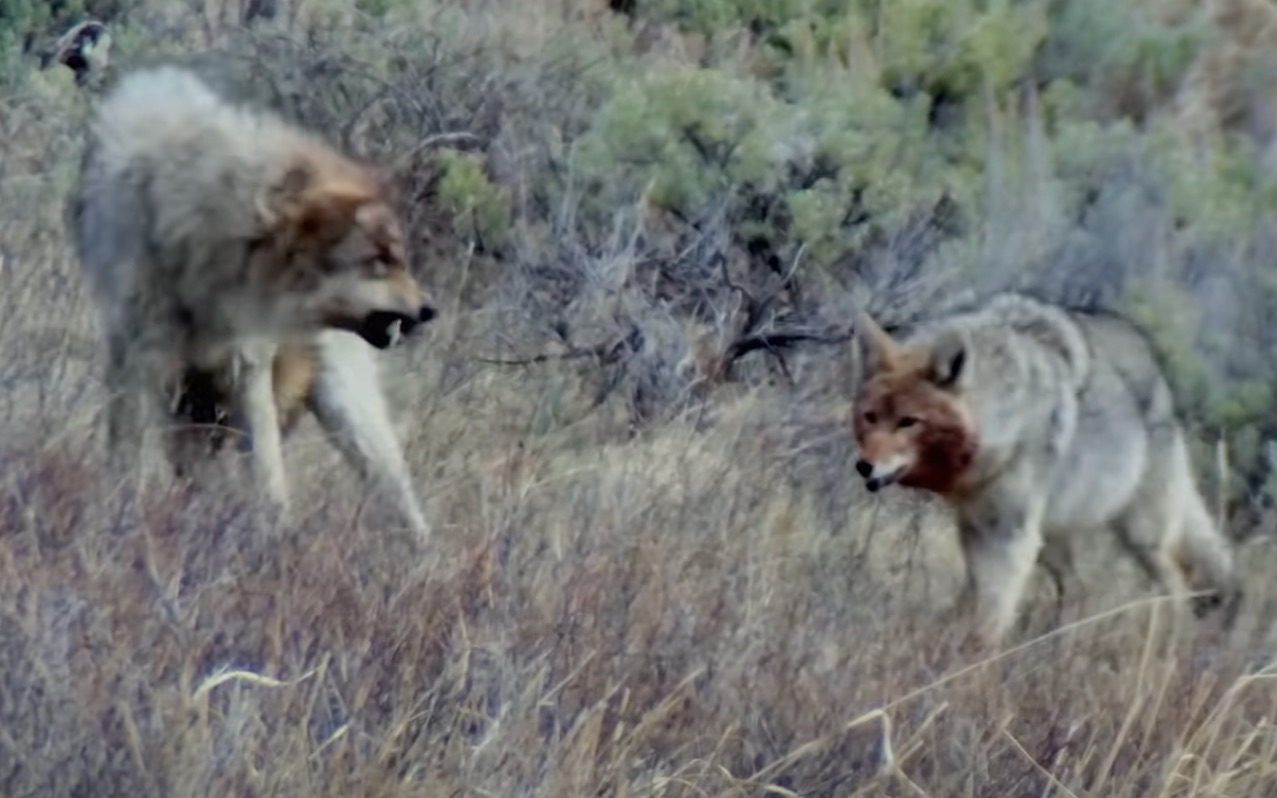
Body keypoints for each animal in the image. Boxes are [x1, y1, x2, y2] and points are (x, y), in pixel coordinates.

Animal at [68, 63, 439, 541]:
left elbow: (267, 475)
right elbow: (127, 458)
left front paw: (272, 538)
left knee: (397, 494)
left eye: (398, 259)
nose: (430, 310)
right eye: (380, 261)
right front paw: (118, 517)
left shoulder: (246, 369)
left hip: (346, 410)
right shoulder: (142, 367)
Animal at [853, 291, 1241, 648]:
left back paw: (1168, 650)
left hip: (1141, 536)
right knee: (1080, 590)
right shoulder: (973, 525)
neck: (1003, 417)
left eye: (908, 422)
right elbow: (974, 595)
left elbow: (992, 611)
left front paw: (973, 657)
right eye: (870, 417)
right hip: (1052, 540)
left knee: (1178, 592)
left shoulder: (1007, 535)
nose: (863, 466)